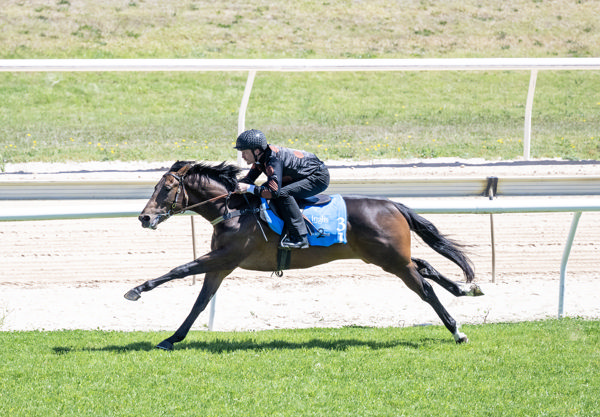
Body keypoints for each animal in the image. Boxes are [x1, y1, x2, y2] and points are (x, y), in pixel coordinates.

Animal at [125, 161, 482, 350]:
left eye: (166, 188)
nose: (144, 217)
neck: (234, 210)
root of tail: (394, 204)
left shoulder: (226, 257)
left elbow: (178, 270)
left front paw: (136, 290)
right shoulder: (221, 265)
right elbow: (200, 302)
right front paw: (172, 338)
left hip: (391, 260)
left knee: (425, 288)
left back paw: (458, 331)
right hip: (389, 258)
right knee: (425, 265)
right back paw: (465, 289)